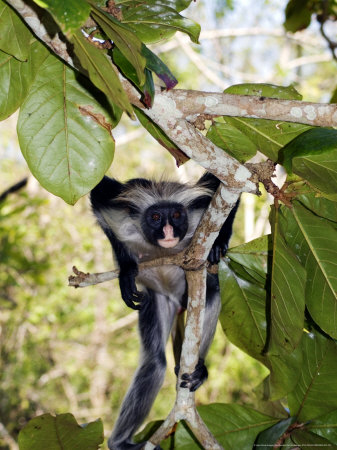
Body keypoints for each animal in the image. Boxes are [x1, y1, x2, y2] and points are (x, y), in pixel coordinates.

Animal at [90, 172, 239, 450]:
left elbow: (230, 185)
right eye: (156, 217)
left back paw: (198, 370)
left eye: (177, 215)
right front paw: (126, 269)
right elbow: (96, 194)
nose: (169, 231)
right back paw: (119, 443)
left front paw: (219, 241)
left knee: (212, 292)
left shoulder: (197, 215)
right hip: (158, 300)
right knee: (154, 363)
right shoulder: (121, 217)